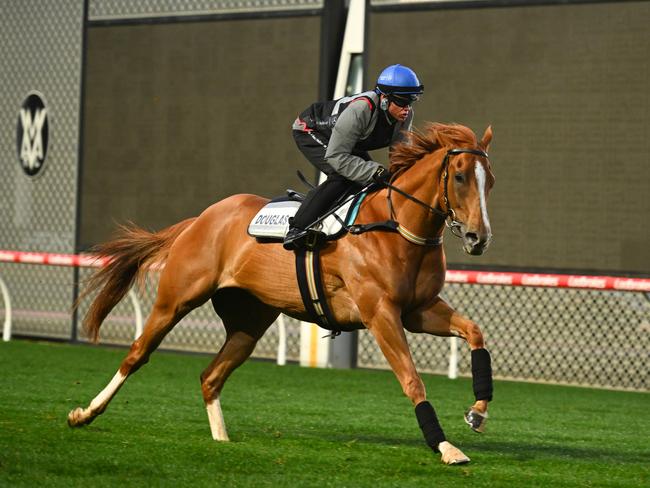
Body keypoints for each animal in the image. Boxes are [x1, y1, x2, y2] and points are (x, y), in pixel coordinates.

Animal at [68, 122, 494, 466]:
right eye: (459, 176)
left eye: (488, 179)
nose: (478, 237)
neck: (394, 226)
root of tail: (202, 218)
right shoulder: (380, 313)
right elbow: (412, 379)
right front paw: (445, 447)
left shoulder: (418, 310)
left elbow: (475, 332)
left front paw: (477, 411)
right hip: (176, 299)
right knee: (138, 354)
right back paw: (85, 413)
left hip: (249, 322)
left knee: (210, 376)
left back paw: (221, 439)